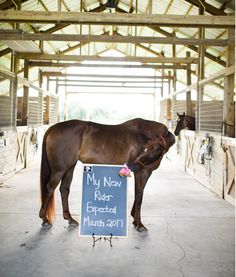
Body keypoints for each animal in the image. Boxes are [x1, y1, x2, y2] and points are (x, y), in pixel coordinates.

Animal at [39, 117, 175, 231]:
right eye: (147, 147)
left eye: (156, 147)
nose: (132, 165)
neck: (141, 134)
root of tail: (54, 127)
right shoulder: (142, 172)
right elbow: (139, 197)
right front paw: (139, 224)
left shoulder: (147, 172)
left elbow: (139, 194)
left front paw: (134, 219)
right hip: (59, 170)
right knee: (50, 188)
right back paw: (44, 219)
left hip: (69, 168)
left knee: (64, 189)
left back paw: (70, 219)